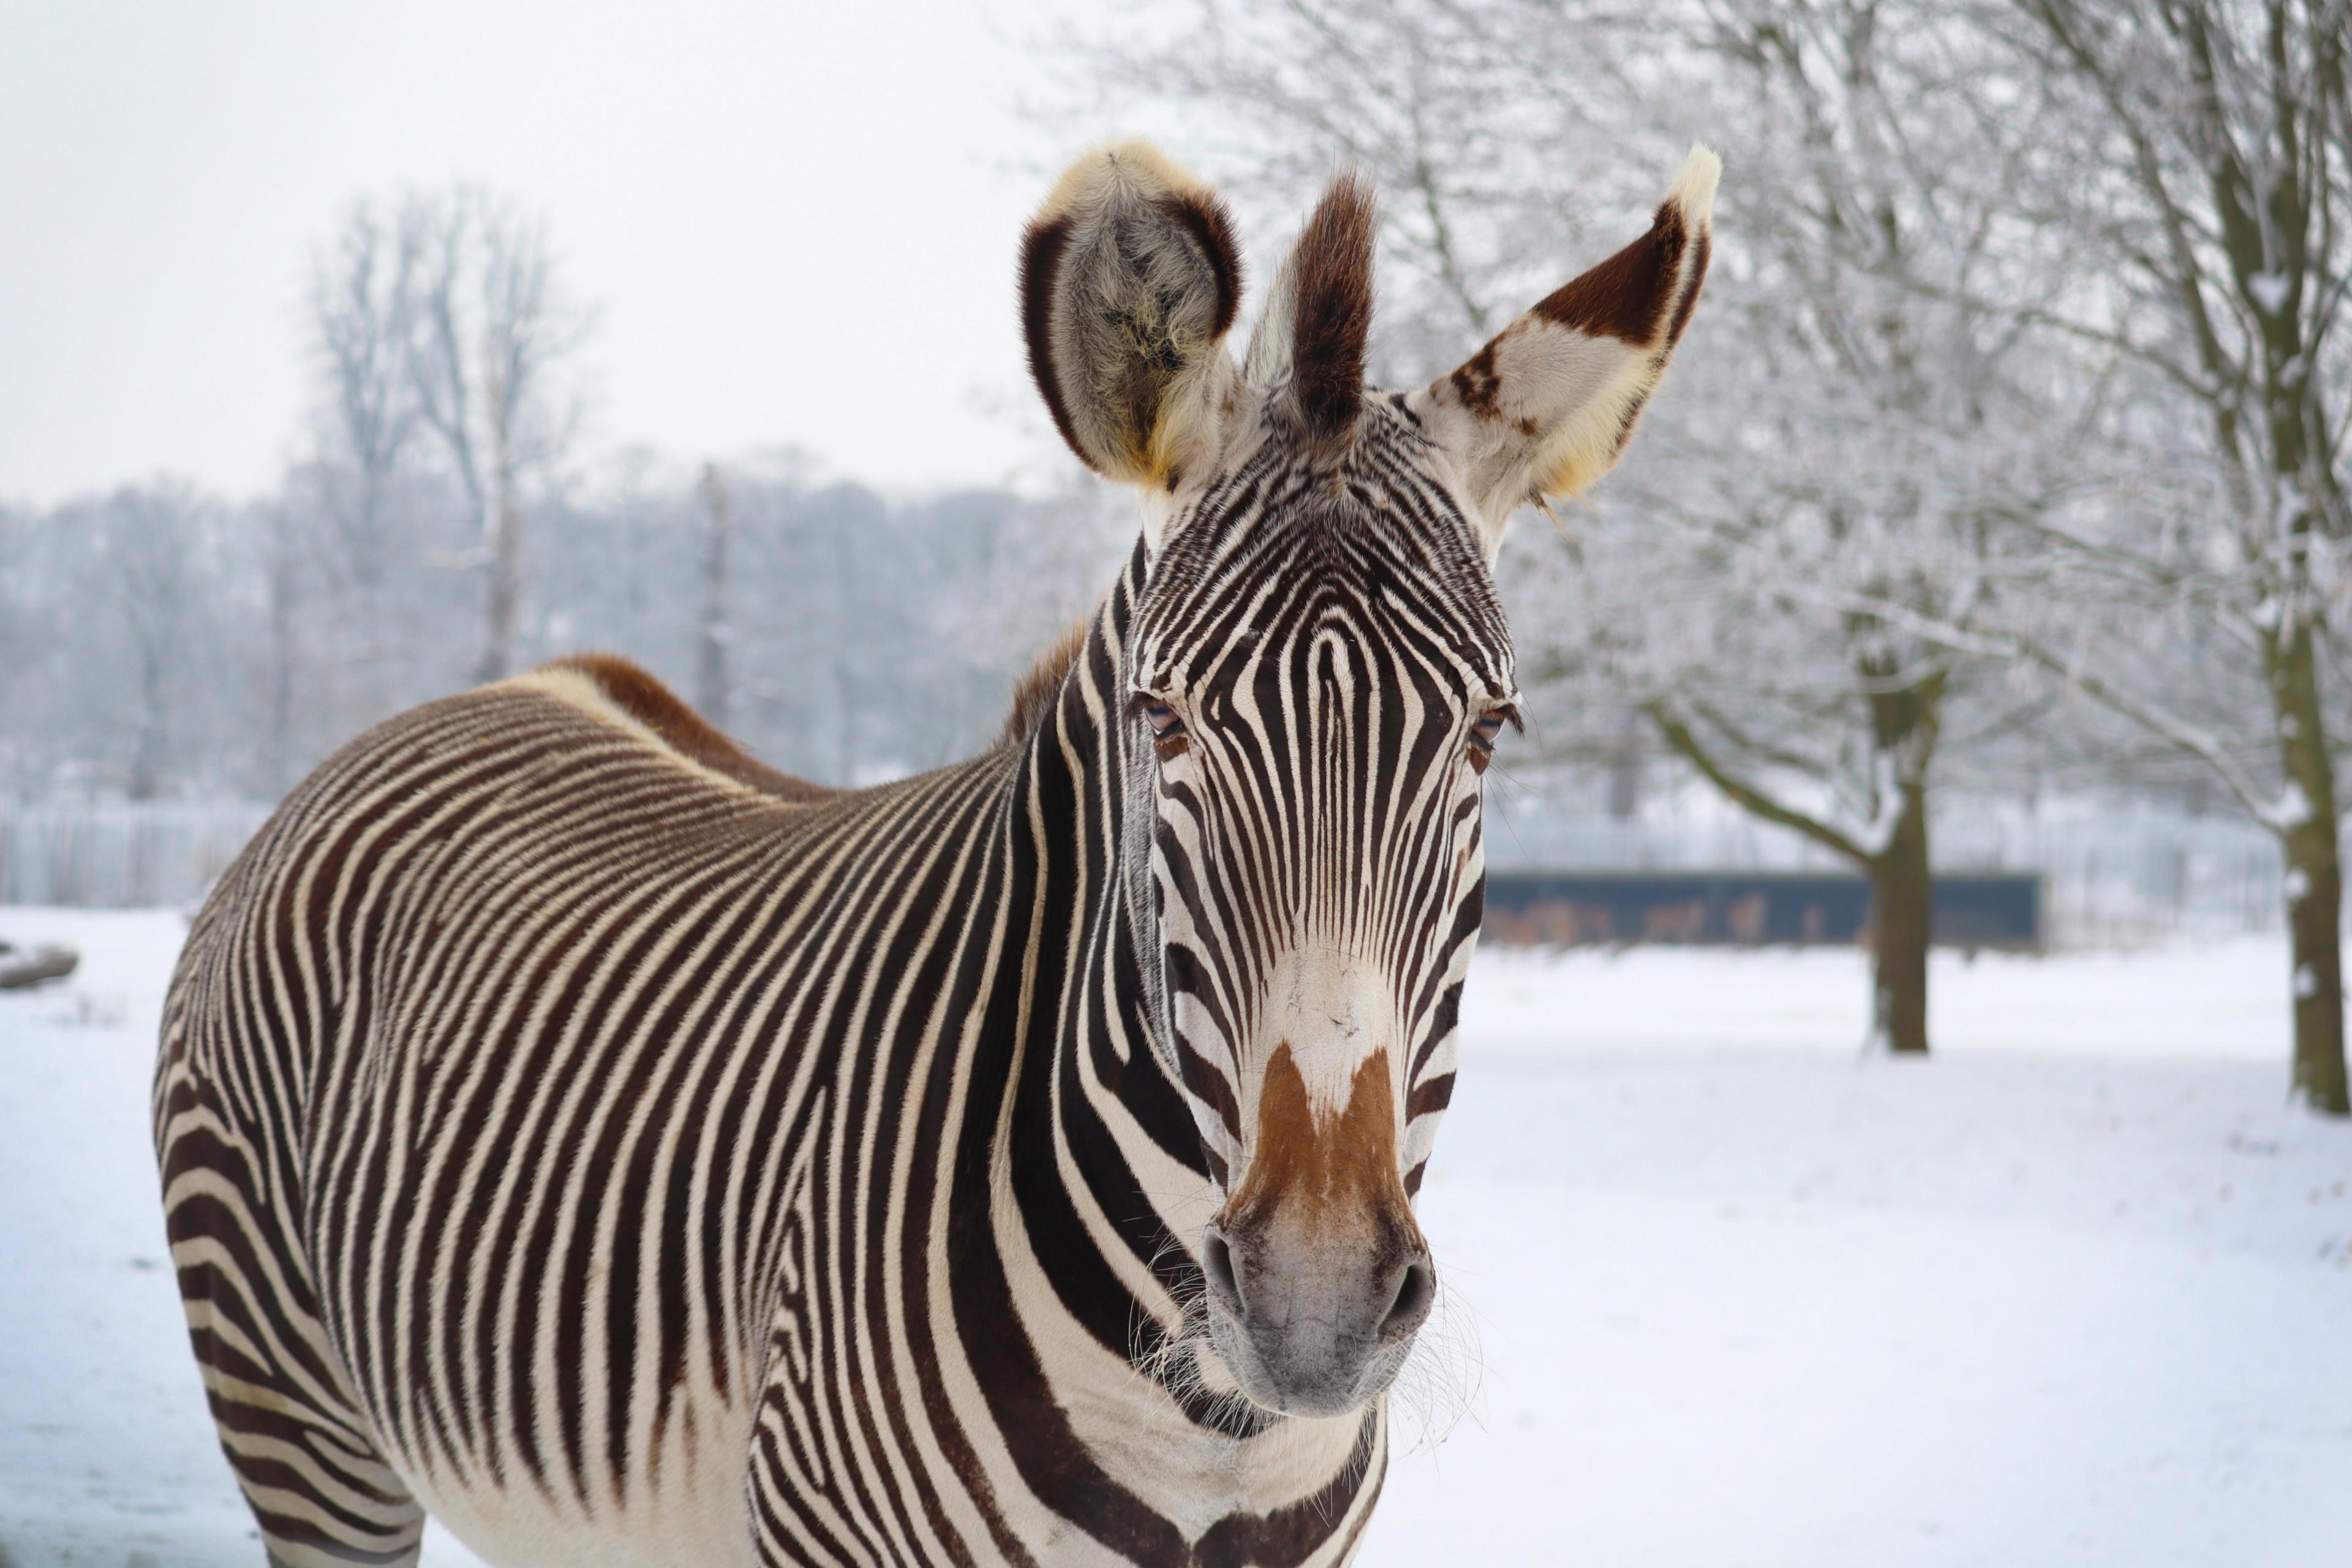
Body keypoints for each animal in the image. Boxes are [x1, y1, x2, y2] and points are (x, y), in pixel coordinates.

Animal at [156, 141, 1721, 1561]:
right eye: (1163, 720)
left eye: (1488, 731)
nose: (1315, 1304)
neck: (1208, 1424)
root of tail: (495, 689)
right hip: (296, 1413)